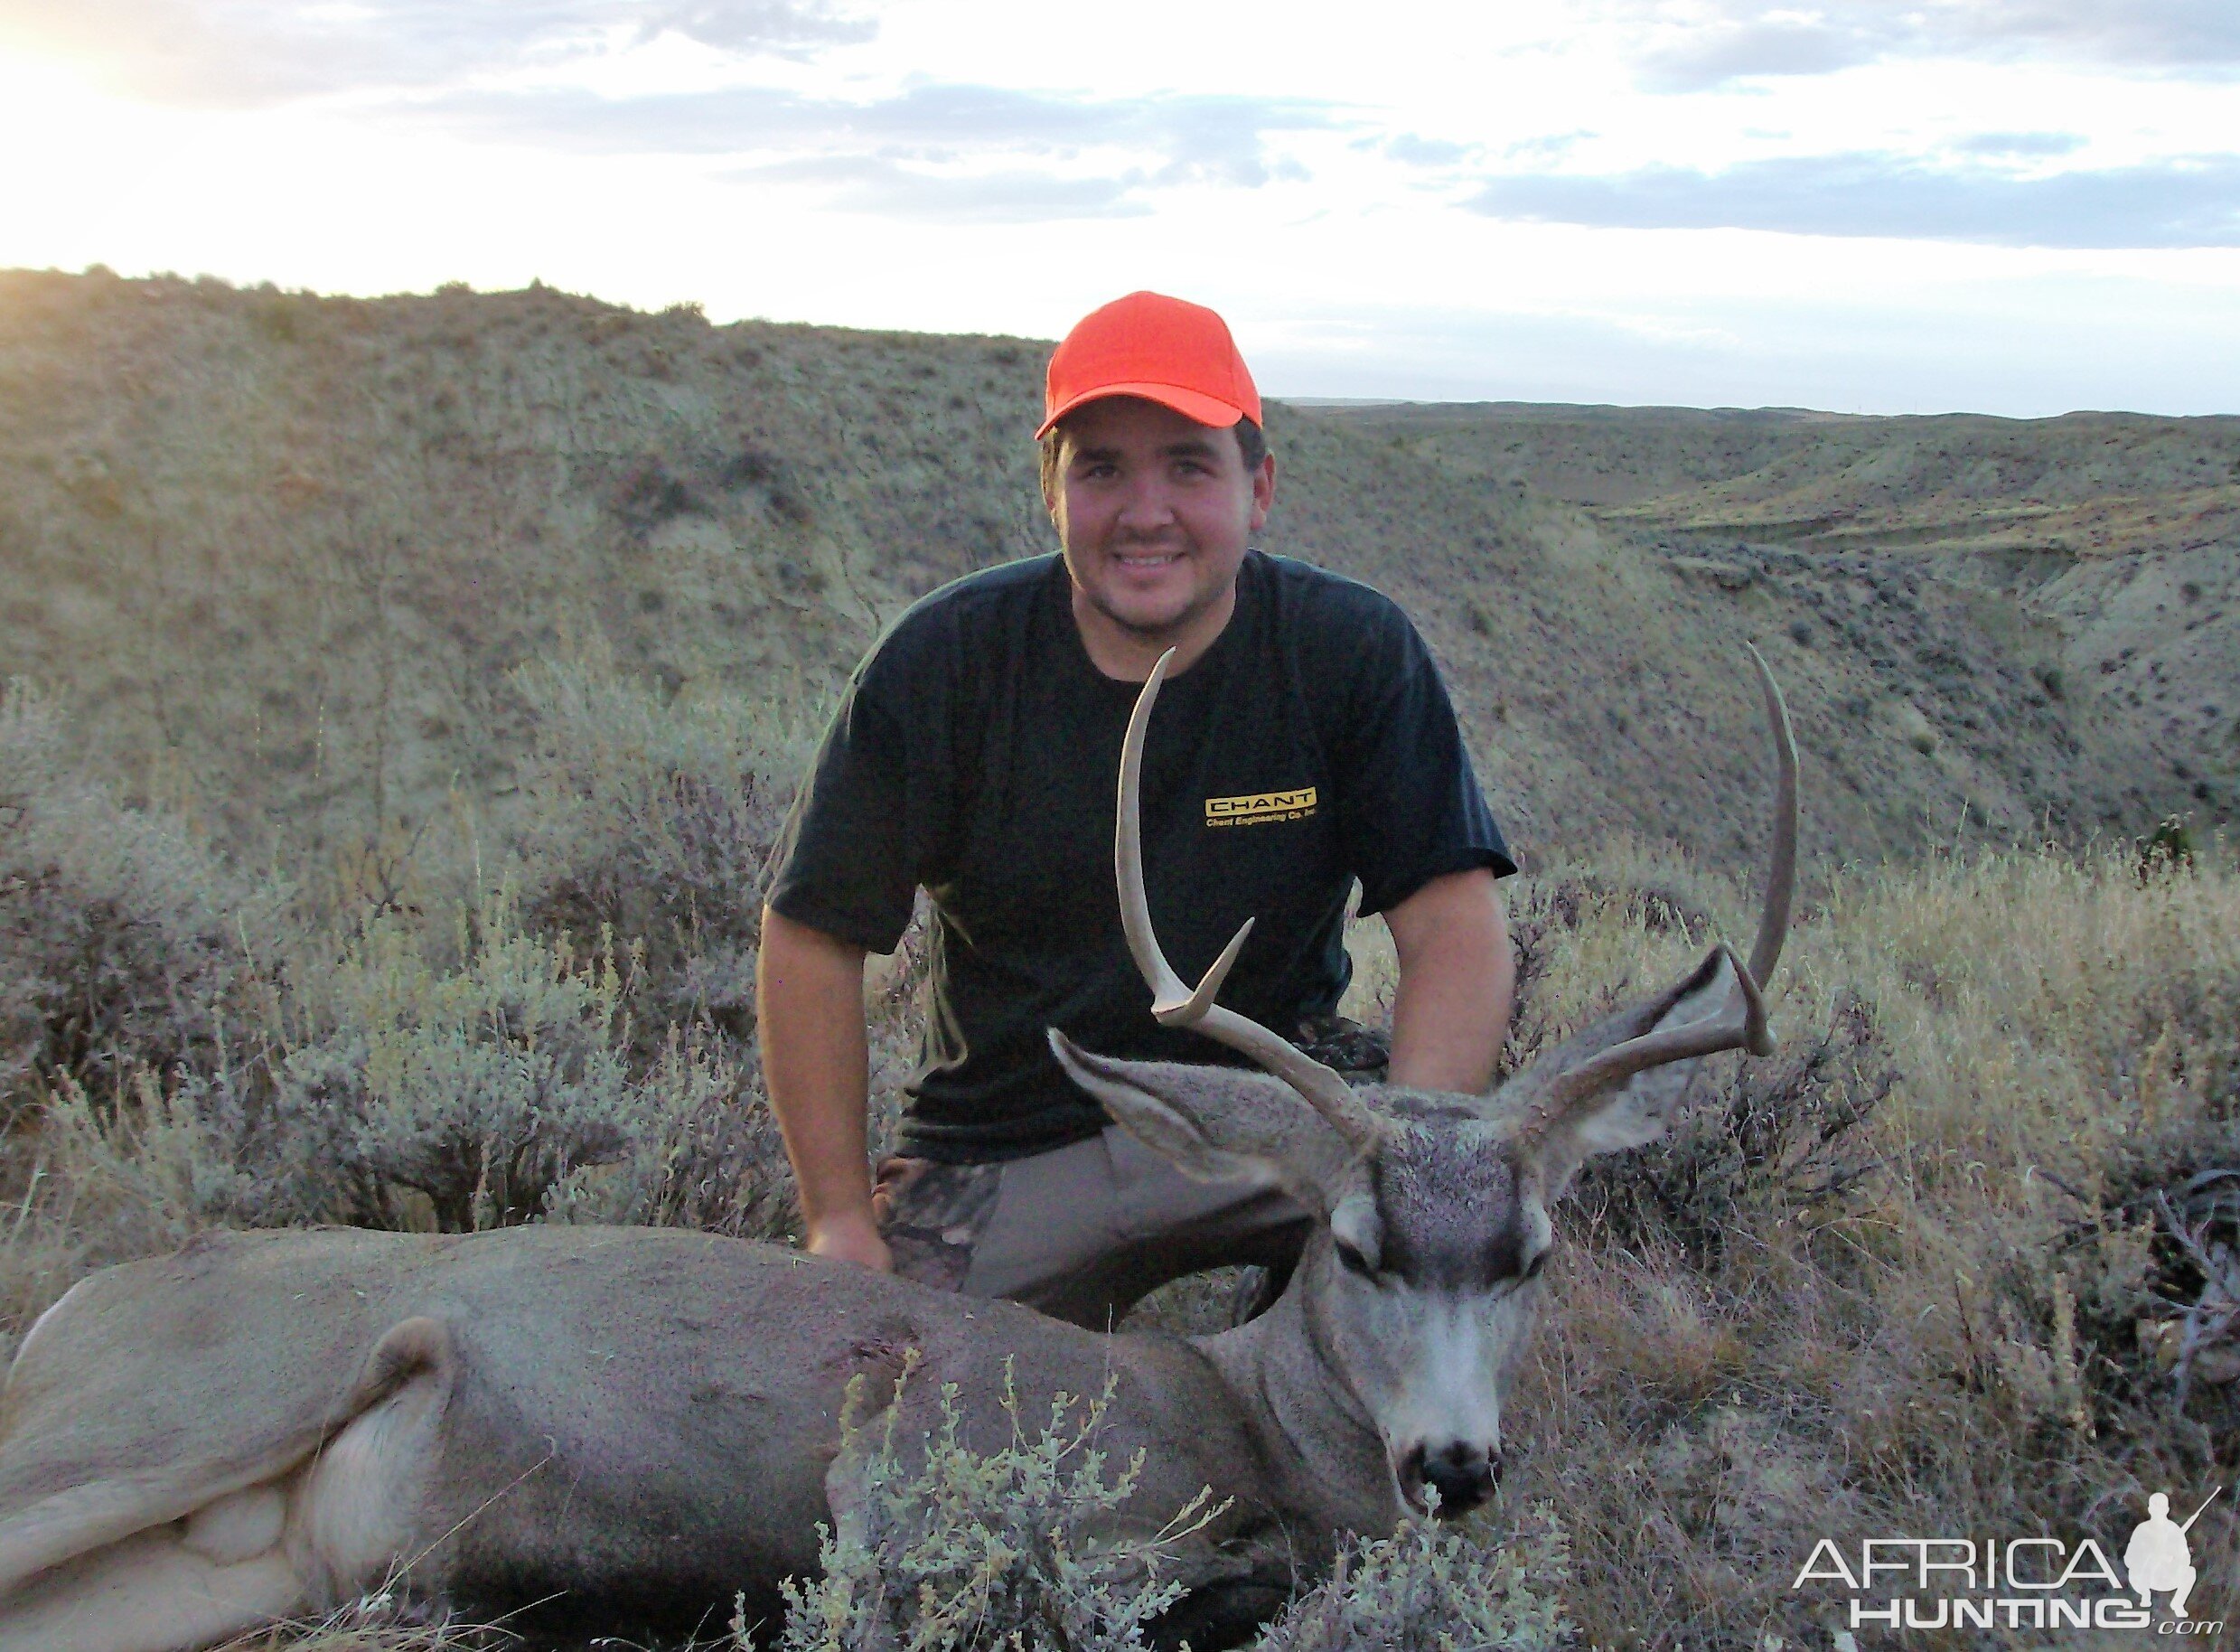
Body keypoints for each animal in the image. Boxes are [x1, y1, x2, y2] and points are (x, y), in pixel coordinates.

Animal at [0, 645, 1792, 1649]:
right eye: (1351, 1244)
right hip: (167, 1419)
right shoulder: (907, 1476)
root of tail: (77, 1302)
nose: (1454, 1465)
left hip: (223, 1564)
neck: (1241, 1424)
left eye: (1531, 1253)